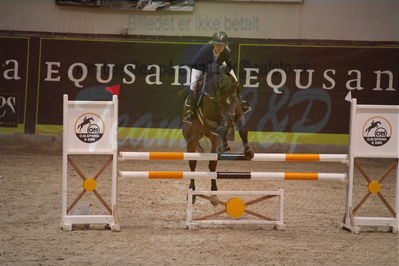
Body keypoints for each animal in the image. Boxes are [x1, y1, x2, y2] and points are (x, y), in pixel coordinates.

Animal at [184, 65, 255, 206]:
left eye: (233, 99)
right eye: (219, 101)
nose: (230, 119)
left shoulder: (238, 113)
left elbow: (242, 130)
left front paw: (248, 152)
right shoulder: (208, 120)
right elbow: (221, 128)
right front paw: (226, 144)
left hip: (212, 139)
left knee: (212, 165)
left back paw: (214, 195)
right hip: (191, 138)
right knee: (193, 163)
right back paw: (192, 192)